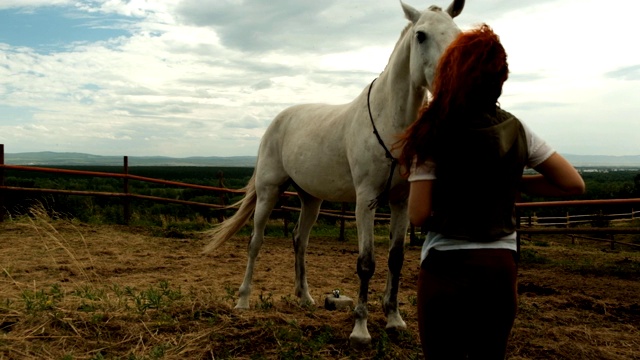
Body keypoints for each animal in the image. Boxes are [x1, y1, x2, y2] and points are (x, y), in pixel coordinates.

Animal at [205, 1, 464, 348]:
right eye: (421, 35)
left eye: (457, 33)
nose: (452, 83)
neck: (389, 120)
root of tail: (278, 120)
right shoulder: (366, 200)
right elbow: (366, 263)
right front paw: (360, 330)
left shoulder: (400, 201)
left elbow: (395, 259)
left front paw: (394, 320)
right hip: (269, 191)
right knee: (255, 241)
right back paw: (243, 300)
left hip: (310, 199)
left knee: (299, 240)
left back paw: (305, 297)